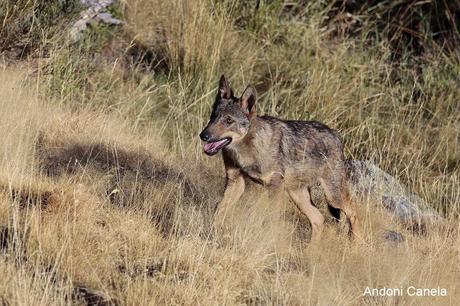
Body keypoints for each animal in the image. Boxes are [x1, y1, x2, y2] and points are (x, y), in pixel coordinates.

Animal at [199, 76, 362, 241]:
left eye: (228, 120)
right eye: (213, 117)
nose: (203, 135)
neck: (247, 152)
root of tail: (336, 134)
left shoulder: (274, 187)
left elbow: (271, 220)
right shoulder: (235, 181)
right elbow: (219, 210)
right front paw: (211, 235)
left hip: (332, 197)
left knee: (353, 211)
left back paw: (355, 242)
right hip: (299, 196)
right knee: (319, 219)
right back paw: (311, 248)